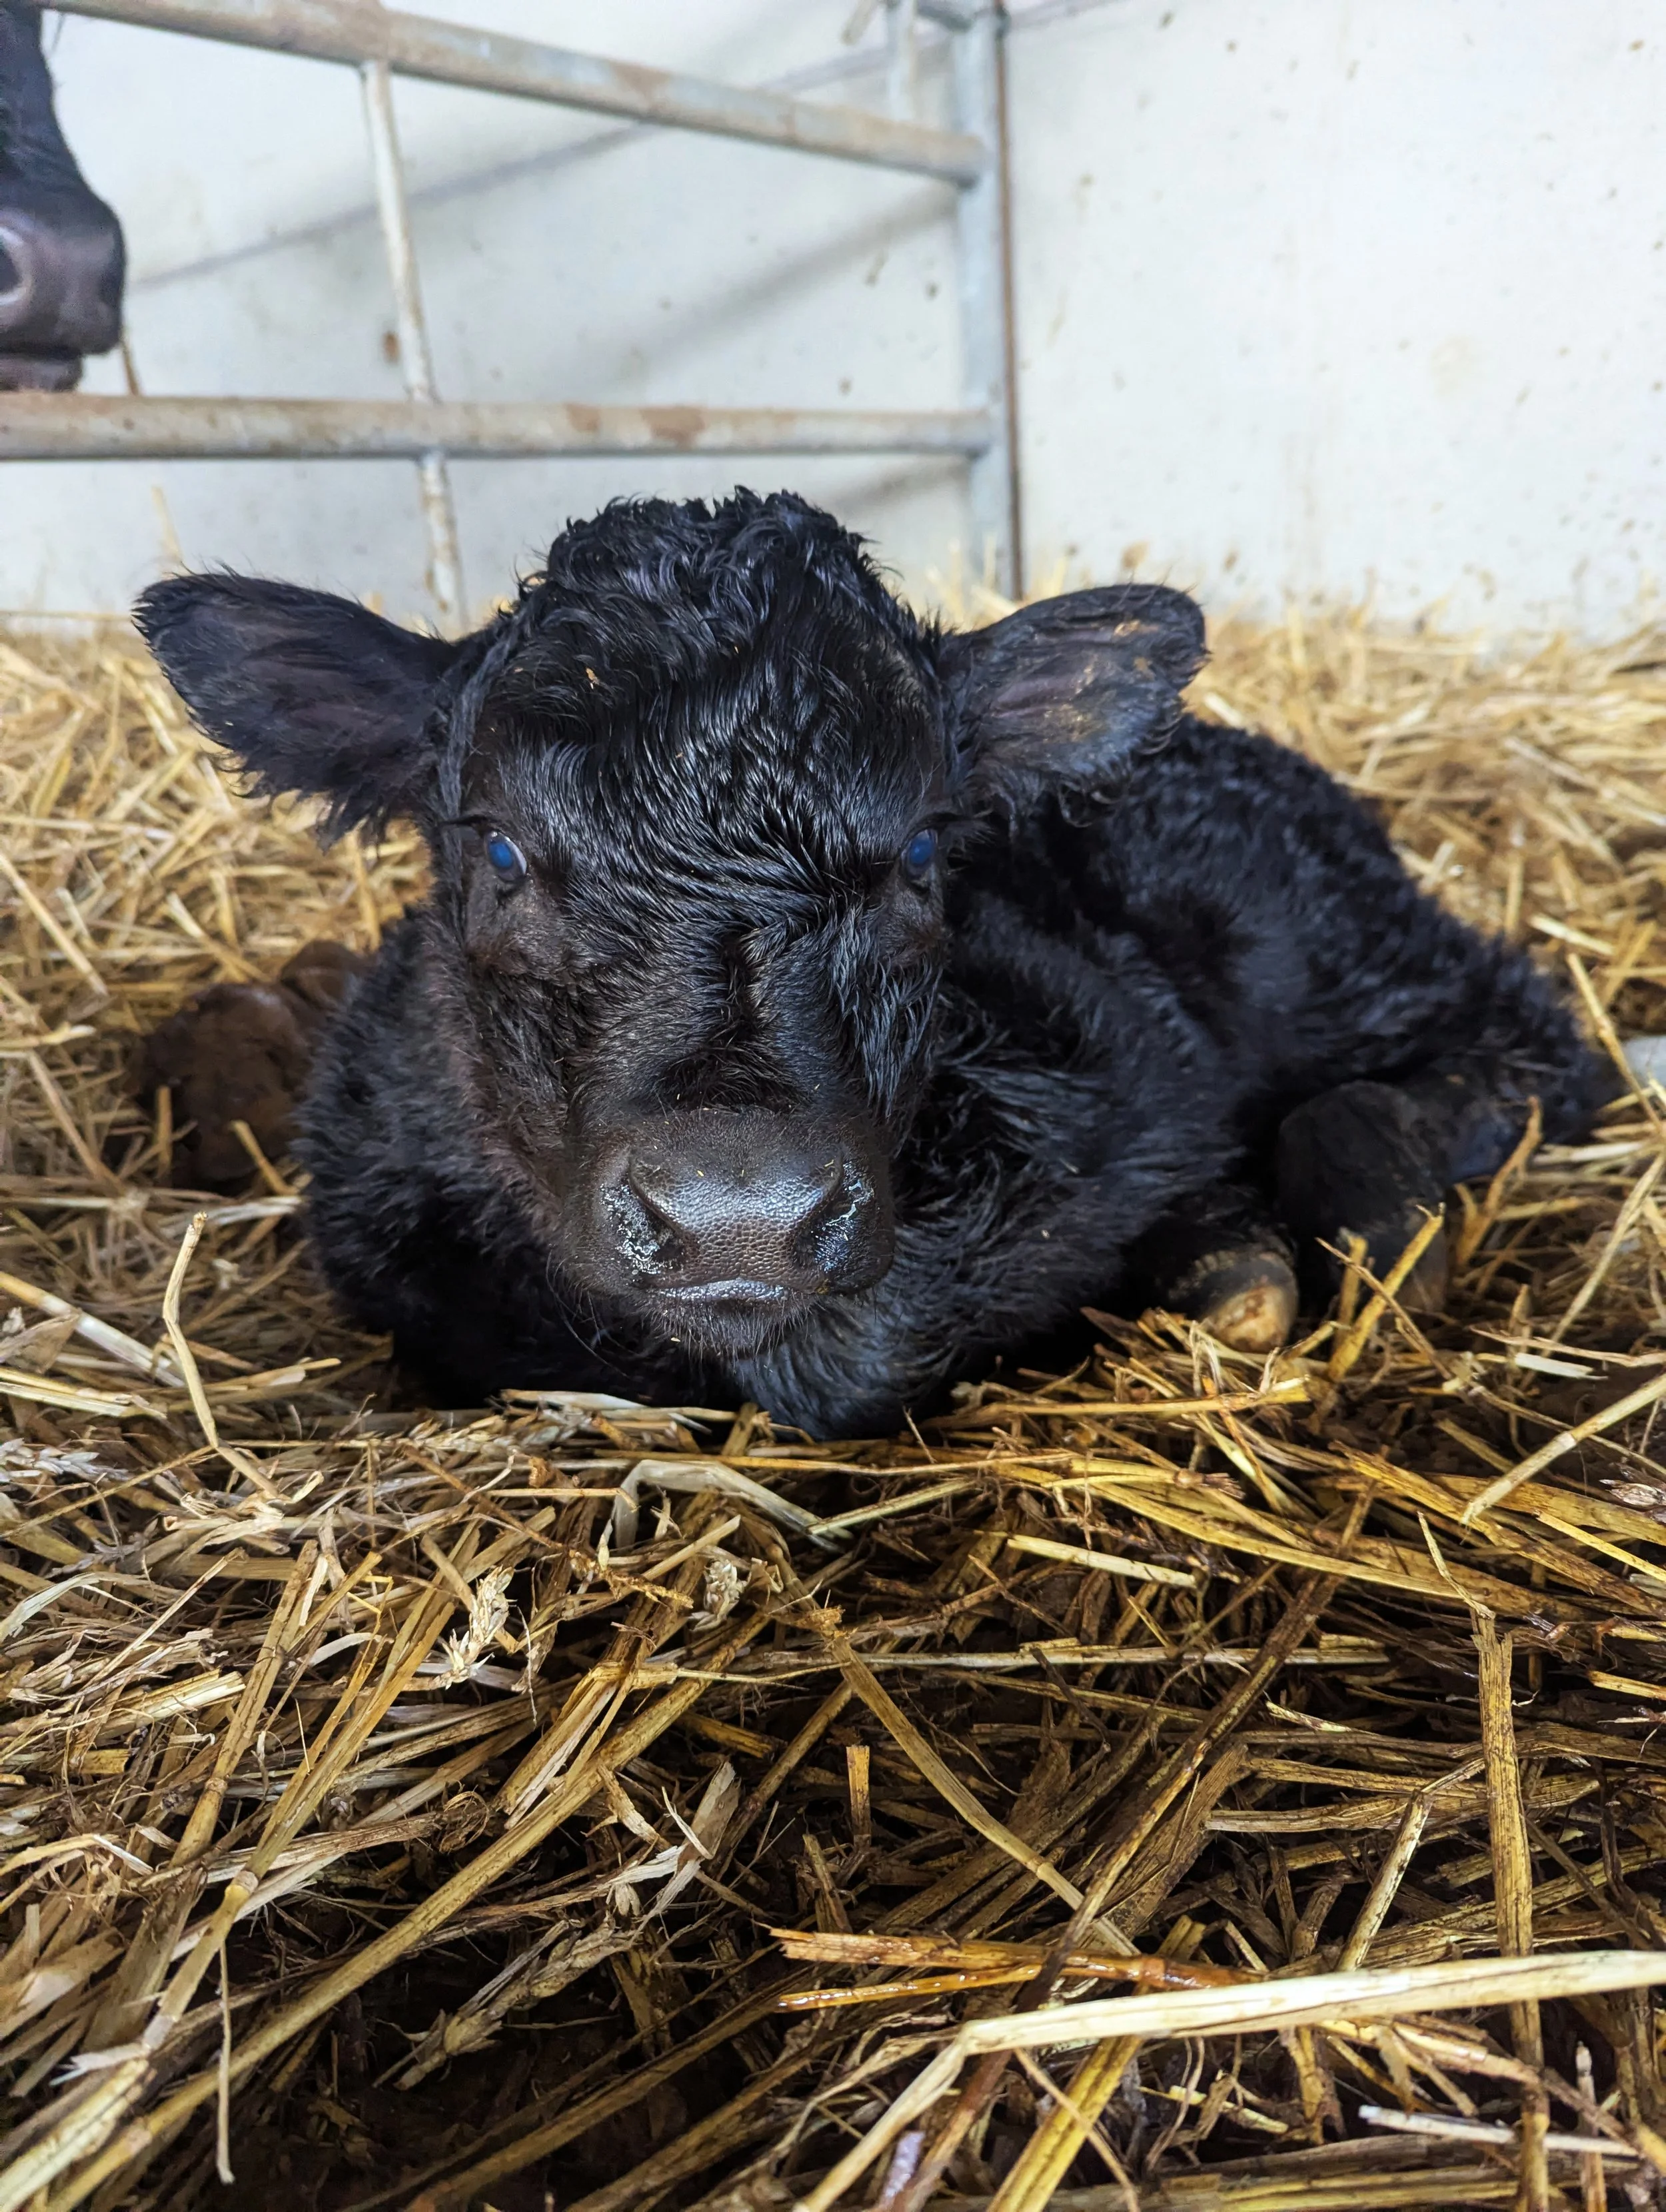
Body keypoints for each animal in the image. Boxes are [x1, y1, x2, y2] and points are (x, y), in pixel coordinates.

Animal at [133, 491, 1608, 1437]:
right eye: (498, 850)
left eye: (918, 850)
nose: (736, 1214)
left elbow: (862, 1340)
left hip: (1338, 952)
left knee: (1530, 1051)